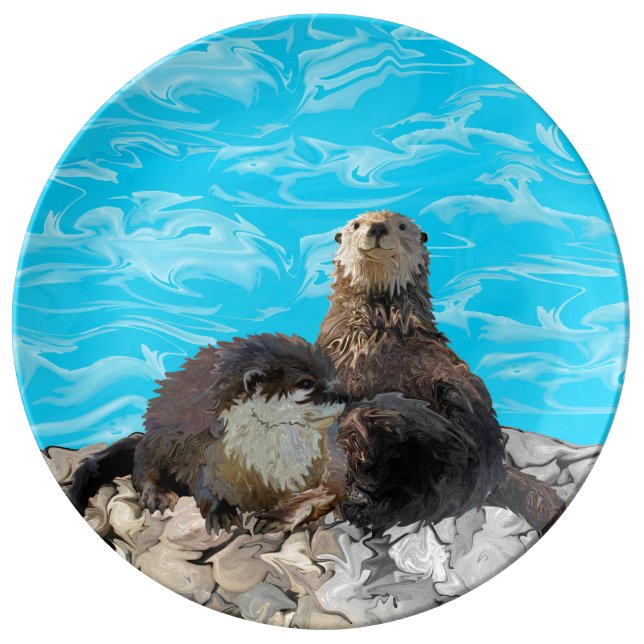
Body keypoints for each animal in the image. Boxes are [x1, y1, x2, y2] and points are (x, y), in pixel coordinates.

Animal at [67, 334, 347, 534]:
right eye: (306, 383)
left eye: (333, 374)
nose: (345, 394)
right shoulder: (207, 446)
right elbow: (202, 480)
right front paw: (221, 513)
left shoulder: (329, 459)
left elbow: (330, 490)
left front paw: (281, 516)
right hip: (162, 432)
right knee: (144, 462)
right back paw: (157, 493)